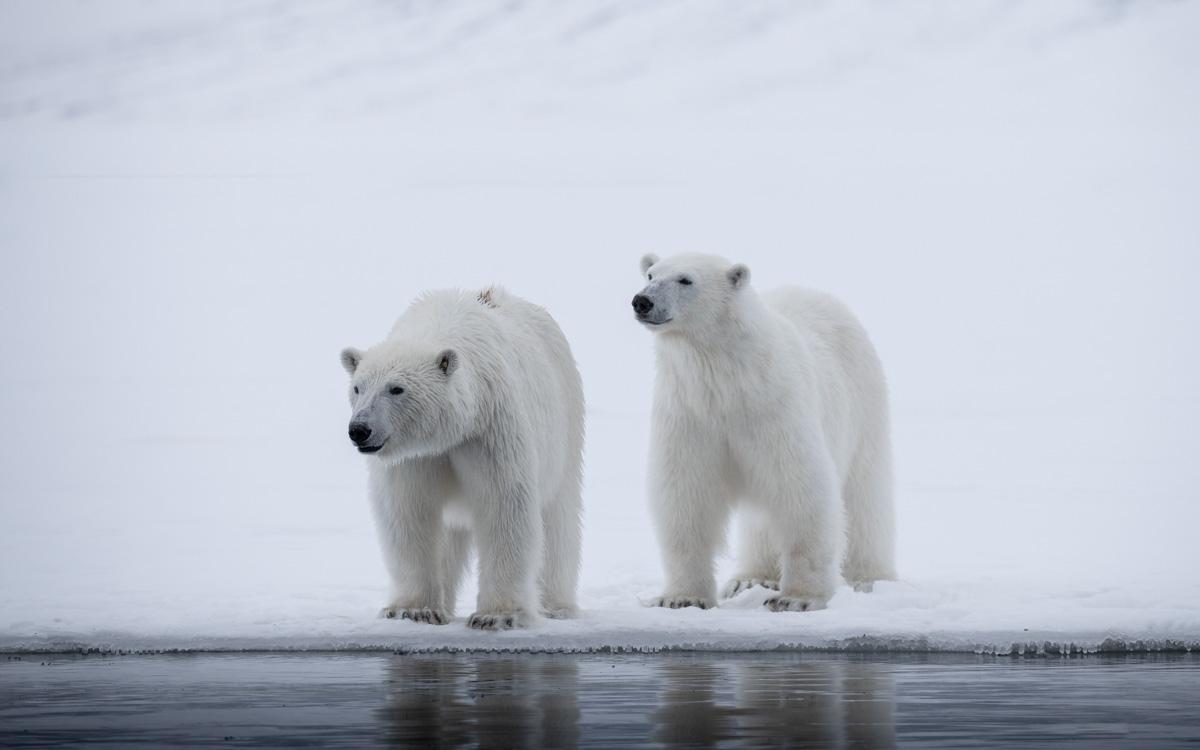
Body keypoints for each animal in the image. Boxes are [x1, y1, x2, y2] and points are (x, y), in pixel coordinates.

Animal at [340, 287, 585, 630]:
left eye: (396, 388)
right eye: (357, 387)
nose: (359, 430)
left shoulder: (488, 429)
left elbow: (504, 507)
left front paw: (497, 616)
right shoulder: (415, 458)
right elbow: (408, 513)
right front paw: (412, 610)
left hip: (565, 420)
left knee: (558, 517)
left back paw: (556, 606)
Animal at [632, 253, 895, 612]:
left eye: (685, 279)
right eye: (650, 274)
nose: (642, 301)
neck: (727, 379)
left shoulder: (773, 408)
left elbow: (801, 488)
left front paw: (797, 599)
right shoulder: (689, 414)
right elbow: (685, 495)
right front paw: (681, 597)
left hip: (863, 404)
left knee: (864, 496)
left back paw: (868, 577)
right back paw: (750, 578)